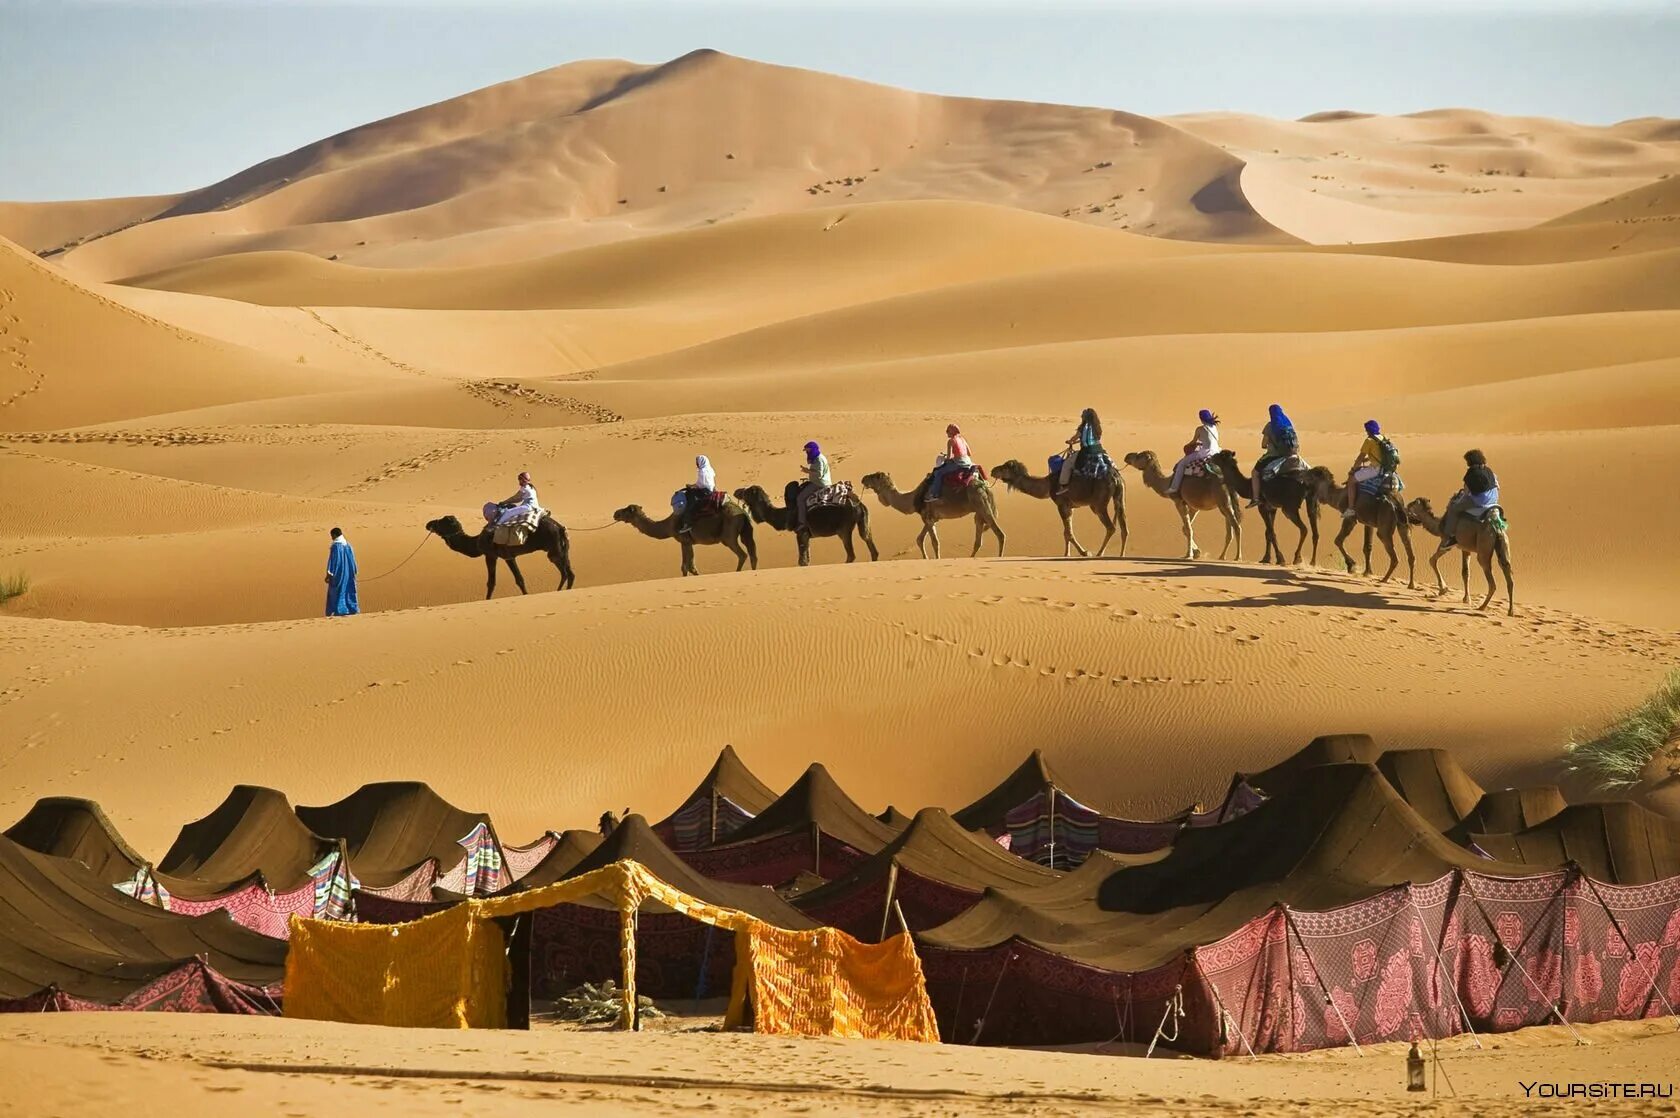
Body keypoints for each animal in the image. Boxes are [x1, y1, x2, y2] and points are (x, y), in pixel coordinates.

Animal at [423, 514, 574, 601]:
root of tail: (560, 527)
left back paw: (559, 591)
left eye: (442, 522)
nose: (428, 524)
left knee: (565, 572)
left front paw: (487, 600)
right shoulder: (505, 556)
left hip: (553, 549)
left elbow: (496, 582)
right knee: (570, 573)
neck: (477, 542)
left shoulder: (493, 555)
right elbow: (516, 579)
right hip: (562, 549)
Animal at [611, 500, 756, 578]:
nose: (615, 513)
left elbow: (690, 566)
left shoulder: (685, 540)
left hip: (728, 535)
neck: (668, 525)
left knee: (742, 554)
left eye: (627, 510)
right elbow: (684, 567)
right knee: (752, 553)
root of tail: (742, 513)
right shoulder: (685, 542)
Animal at [732, 480, 880, 568]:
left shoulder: (801, 531)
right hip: (861, 523)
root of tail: (858, 504)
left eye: (747, 491)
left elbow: (802, 561)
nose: (736, 491)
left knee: (851, 553)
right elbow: (807, 559)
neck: (785, 514)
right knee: (868, 540)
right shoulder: (806, 535)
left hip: (844, 528)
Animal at [860, 467, 1001, 558]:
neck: (913, 499)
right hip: (979, 511)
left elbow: (935, 543)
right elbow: (919, 539)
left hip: (981, 504)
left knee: (999, 533)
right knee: (978, 539)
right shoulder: (930, 518)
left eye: (874, 476)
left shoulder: (927, 518)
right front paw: (926, 558)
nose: (863, 478)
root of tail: (985, 487)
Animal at [987, 457, 1122, 554]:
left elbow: (1068, 533)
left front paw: (1084, 552)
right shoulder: (1070, 507)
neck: (1048, 485)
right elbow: (1066, 532)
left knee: (1110, 527)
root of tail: (1115, 476)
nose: (992, 470)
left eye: (1004, 468)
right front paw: (1067, 554)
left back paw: (1100, 553)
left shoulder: (1061, 504)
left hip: (1098, 503)